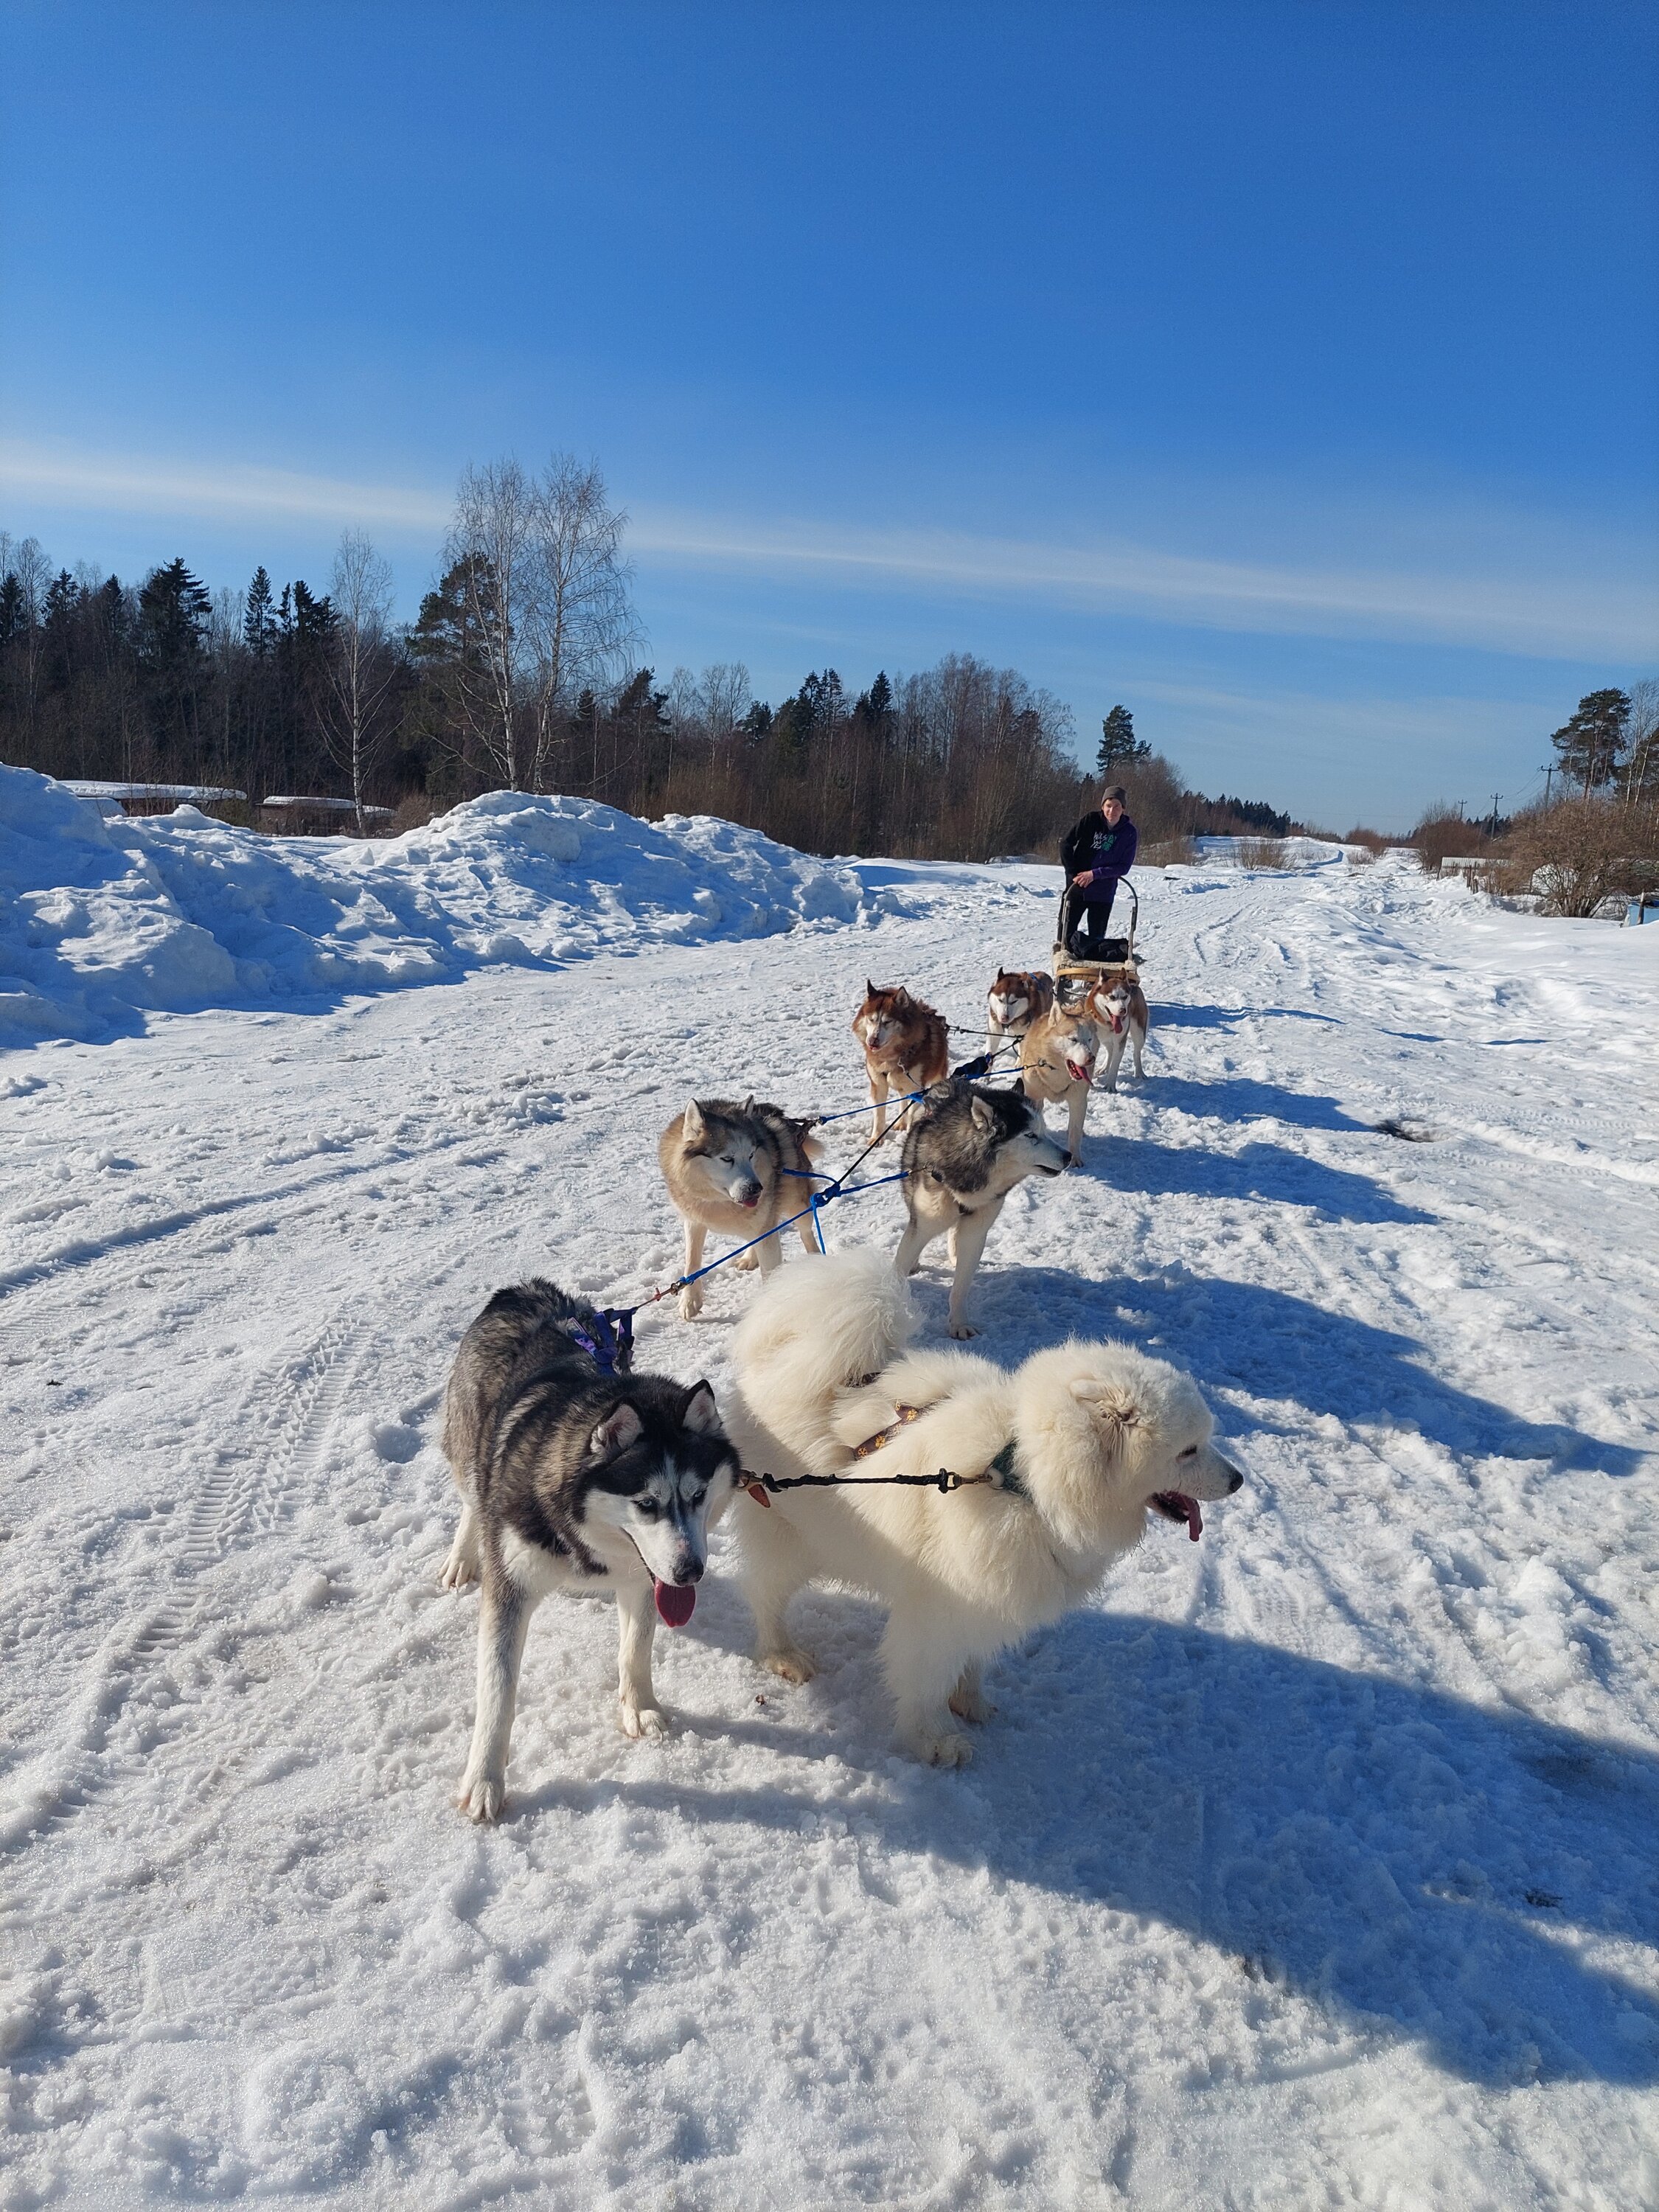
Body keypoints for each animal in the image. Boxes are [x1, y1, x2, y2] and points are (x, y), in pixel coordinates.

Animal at [726, 1256, 1248, 1770]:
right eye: (1188, 1450)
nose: (1239, 1480)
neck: (1018, 1478)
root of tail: (782, 1360)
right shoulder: (940, 1607)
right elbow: (925, 1683)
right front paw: (935, 1741)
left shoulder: (988, 1593)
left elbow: (972, 1659)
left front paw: (971, 1702)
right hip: (789, 1538)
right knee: (764, 1597)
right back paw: (783, 1656)